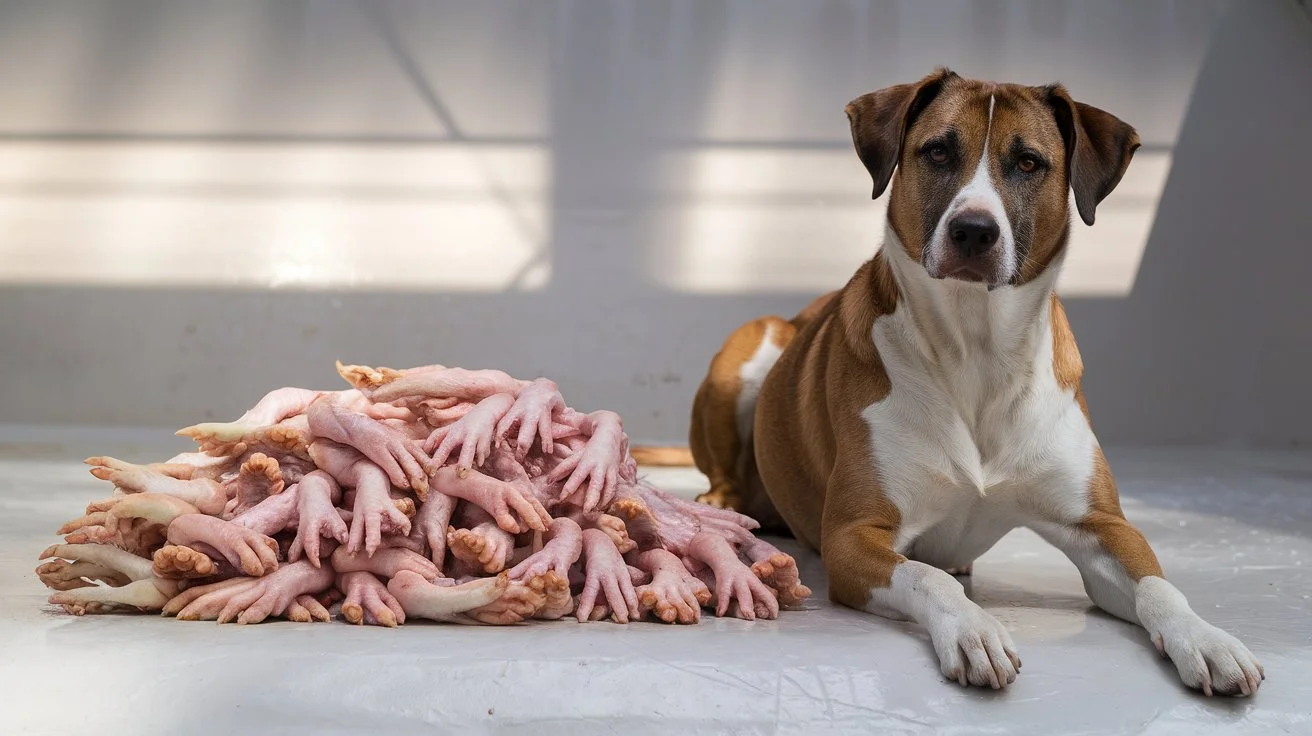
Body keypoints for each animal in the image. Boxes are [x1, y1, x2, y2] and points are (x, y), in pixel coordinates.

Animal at [692, 68, 1264, 692]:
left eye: (1029, 163)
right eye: (938, 151)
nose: (973, 231)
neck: (977, 351)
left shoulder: (1103, 525)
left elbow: (1160, 586)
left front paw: (1205, 638)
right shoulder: (853, 536)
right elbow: (926, 577)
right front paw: (973, 628)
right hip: (753, 344)